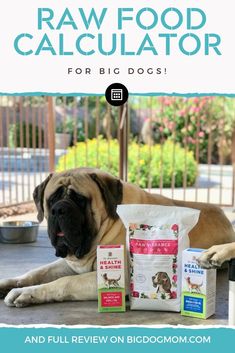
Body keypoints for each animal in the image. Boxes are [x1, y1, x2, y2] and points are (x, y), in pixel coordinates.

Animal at [0, 168, 235, 306]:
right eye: (52, 199)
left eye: (80, 199)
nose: (59, 209)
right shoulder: (71, 264)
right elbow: (37, 272)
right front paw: (10, 283)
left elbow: (64, 282)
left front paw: (26, 293)